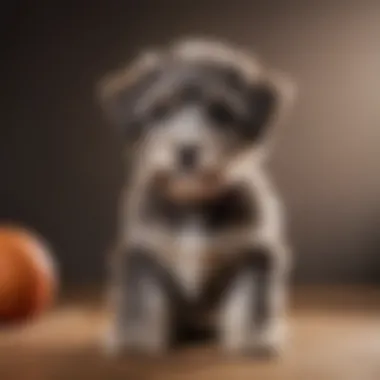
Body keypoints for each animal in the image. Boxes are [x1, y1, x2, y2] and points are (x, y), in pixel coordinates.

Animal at [96, 38, 296, 356]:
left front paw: (255, 339)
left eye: (220, 112)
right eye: (161, 109)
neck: (193, 202)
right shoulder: (141, 254)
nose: (186, 152)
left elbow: (253, 302)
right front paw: (135, 340)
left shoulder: (256, 254)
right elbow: (141, 300)